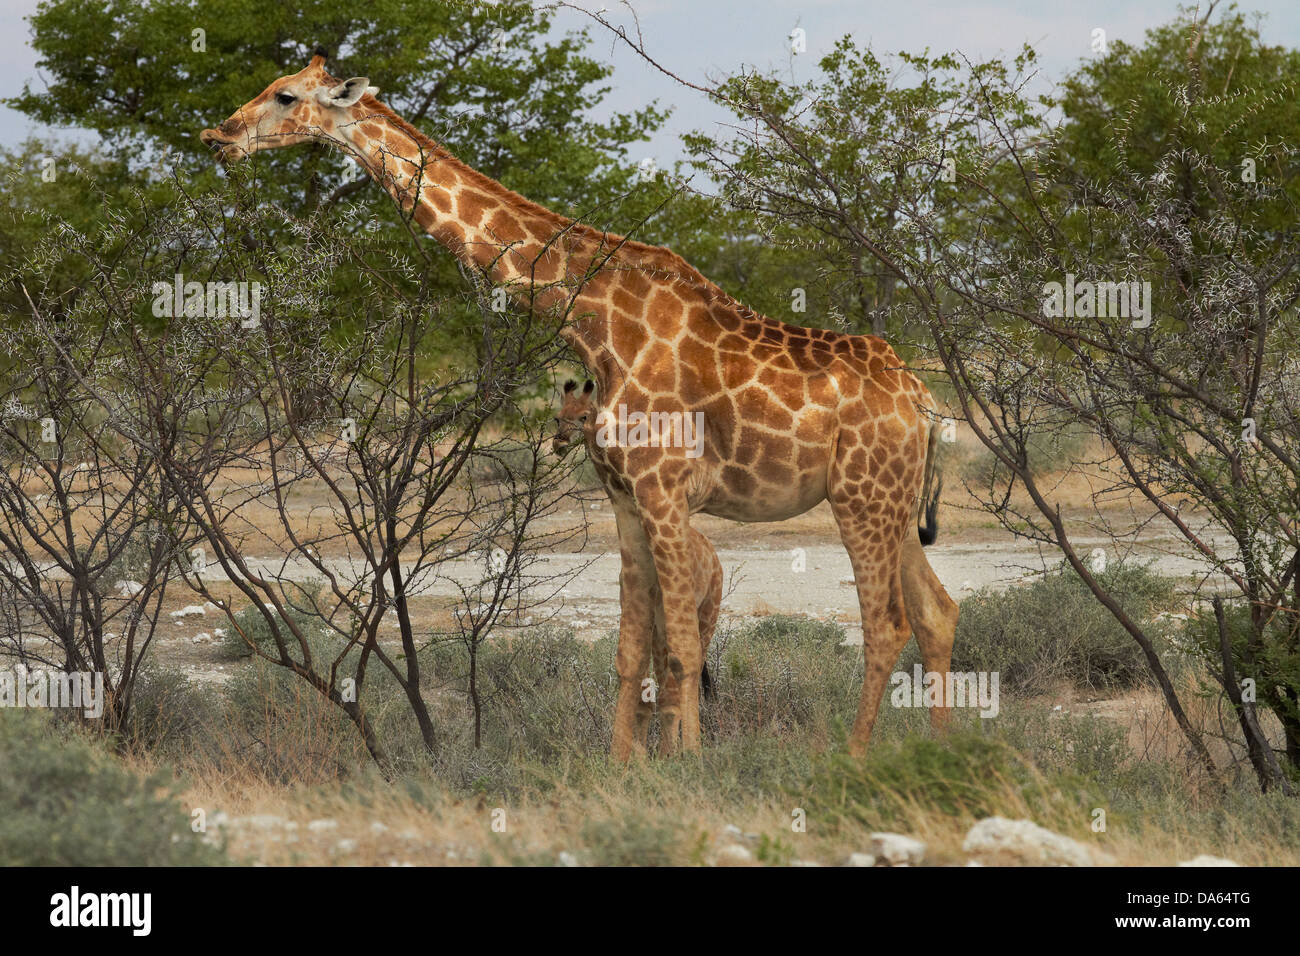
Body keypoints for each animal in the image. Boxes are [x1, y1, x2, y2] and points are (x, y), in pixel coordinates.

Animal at [553, 377, 728, 749]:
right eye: (558, 416)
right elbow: (642, 689)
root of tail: (715, 558)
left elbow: (665, 690)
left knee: (684, 678)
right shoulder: (641, 613)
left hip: (706, 614)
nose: (559, 441)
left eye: (584, 415)